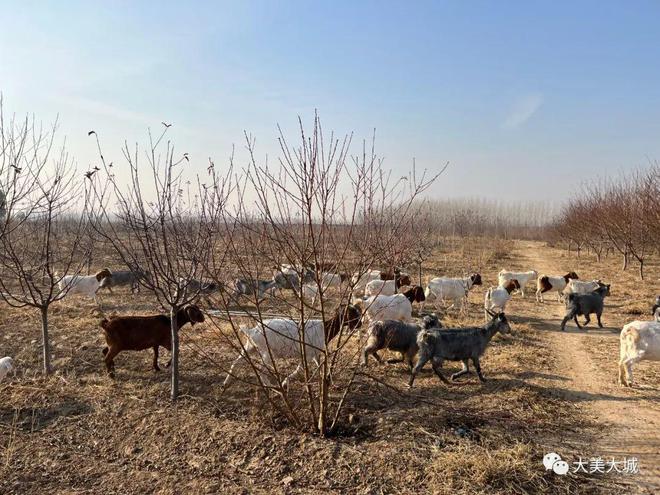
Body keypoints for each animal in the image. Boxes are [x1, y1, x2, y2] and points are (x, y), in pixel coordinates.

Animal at [224, 304, 364, 390]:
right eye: (352, 313)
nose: (360, 324)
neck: (324, 328)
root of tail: (253, 331)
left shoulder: (315, 354)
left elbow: (321, 367)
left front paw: (328, 383)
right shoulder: (307, 355)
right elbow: (299, 370)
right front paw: (285, 382)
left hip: (250, 347)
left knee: (237, 361)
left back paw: (226, 382)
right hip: (267, 352)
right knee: (261, 370)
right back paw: (273, 387)